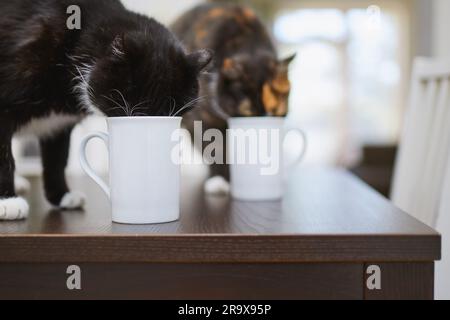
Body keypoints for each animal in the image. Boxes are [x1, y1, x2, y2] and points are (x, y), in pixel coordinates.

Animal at [0, 0, 212, 220]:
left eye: (170, 113)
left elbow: (57, 159)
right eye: (131, 113)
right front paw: (8, 201)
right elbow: (4, 157)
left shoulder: (58, 124)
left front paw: (62, 196)